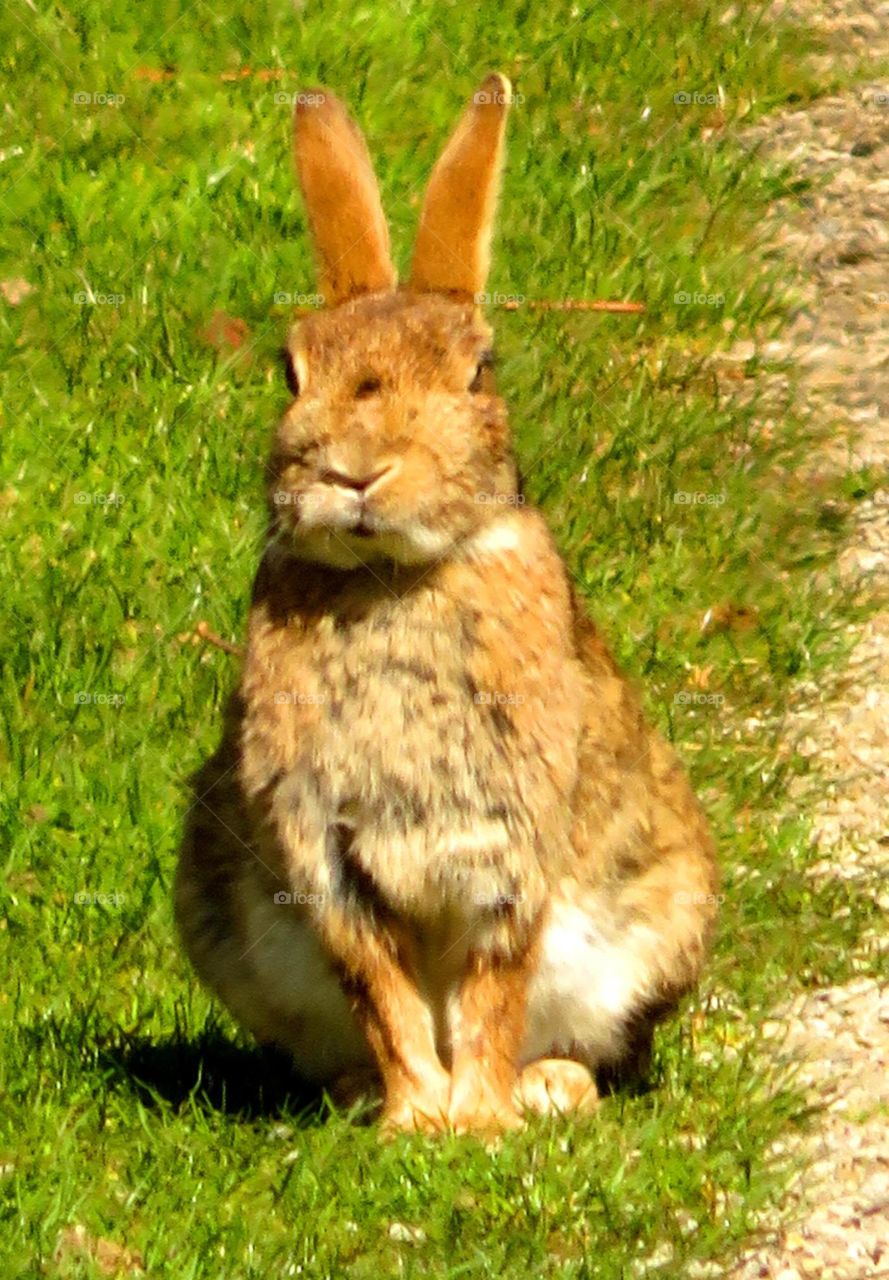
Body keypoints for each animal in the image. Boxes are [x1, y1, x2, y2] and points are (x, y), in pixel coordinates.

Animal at [175, 73, 719, 1136]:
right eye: (291, 370)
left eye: (479, 370)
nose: (354, 469)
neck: (392, 576)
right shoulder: (322, 850)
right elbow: (379, 985)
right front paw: (417, 1119)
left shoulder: (507, 837)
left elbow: (490, 983)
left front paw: (478, 1121)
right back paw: (355, 1096)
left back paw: (550, 1089)